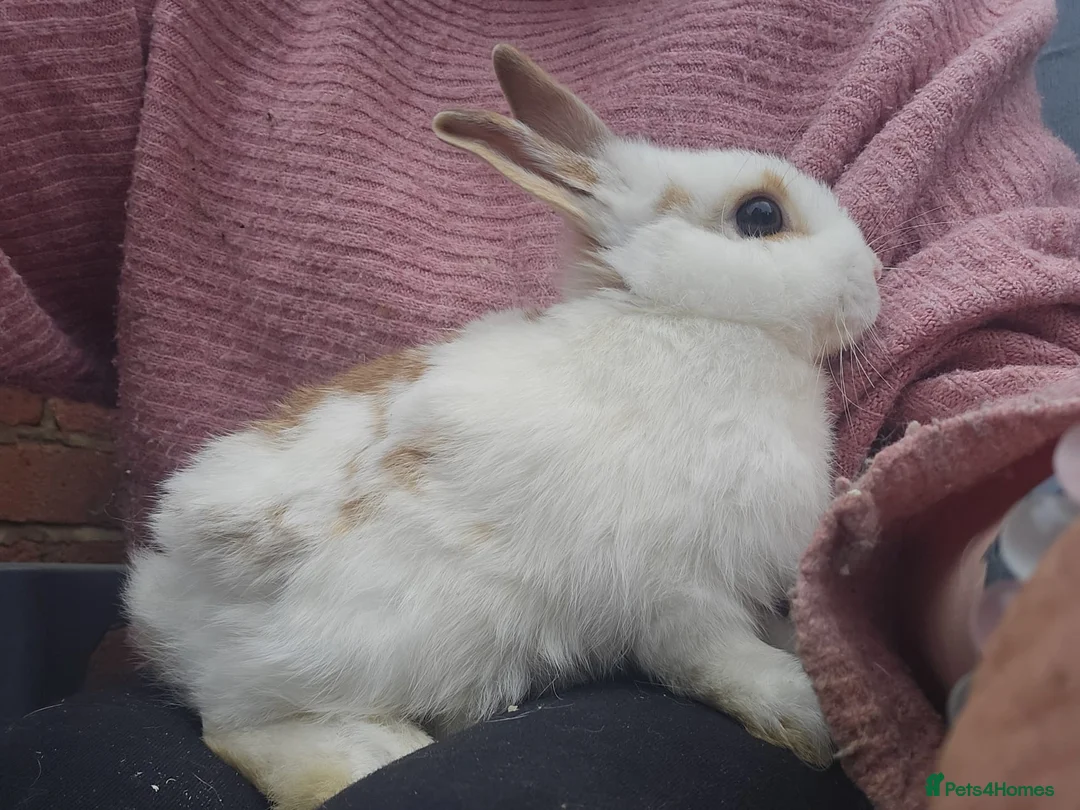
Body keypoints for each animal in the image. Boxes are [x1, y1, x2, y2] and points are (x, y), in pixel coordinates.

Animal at [123, 44, 882, 810]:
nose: (876, 278)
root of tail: (165, 590)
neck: (689, 320)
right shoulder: (679, 591)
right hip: (364, 649)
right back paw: (372, 754)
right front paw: (805, 713)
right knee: (235, 726)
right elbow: (718, 659)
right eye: (760, 214)